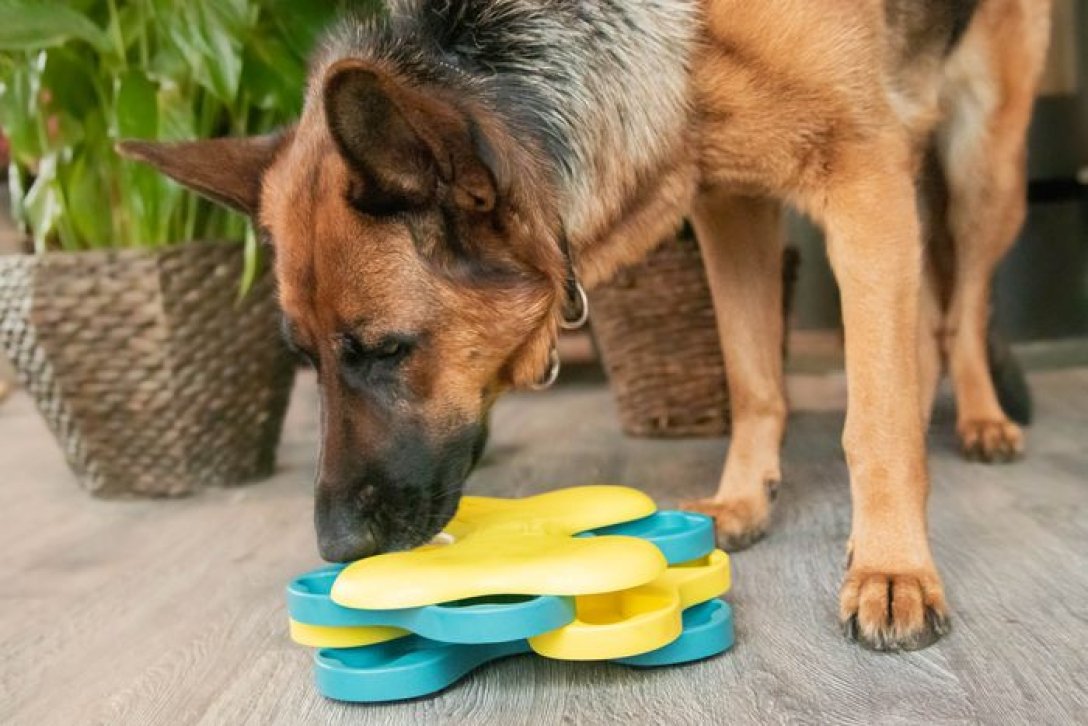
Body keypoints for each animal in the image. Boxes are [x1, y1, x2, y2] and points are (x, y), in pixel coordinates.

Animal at [121, 0, 1053, 648]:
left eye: (387, 351)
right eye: (303, 360)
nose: (337, 550)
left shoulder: (862, 181)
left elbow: (876, 421)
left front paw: (892, 566)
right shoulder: (731, 205)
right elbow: (753, 375)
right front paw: (743, 496)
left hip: (984, 167)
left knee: (965, 303)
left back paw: (981, 420)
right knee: (925, 315)